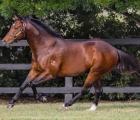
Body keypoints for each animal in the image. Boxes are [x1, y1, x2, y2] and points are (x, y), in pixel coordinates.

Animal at [1, 14, 140, 110]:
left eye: (16, 27)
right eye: (12, 26)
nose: (4, 41)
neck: (46, 47)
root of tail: (114, 49)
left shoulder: (50, 73)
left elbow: (33, 84)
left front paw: (42, 97)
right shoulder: (35, 70)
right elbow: (24, 85)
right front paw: (10, 104)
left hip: (95, 72)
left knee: (85, 90)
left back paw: (66, 104)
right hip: (96, 73)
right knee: (98, 90)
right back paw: (91, 109)